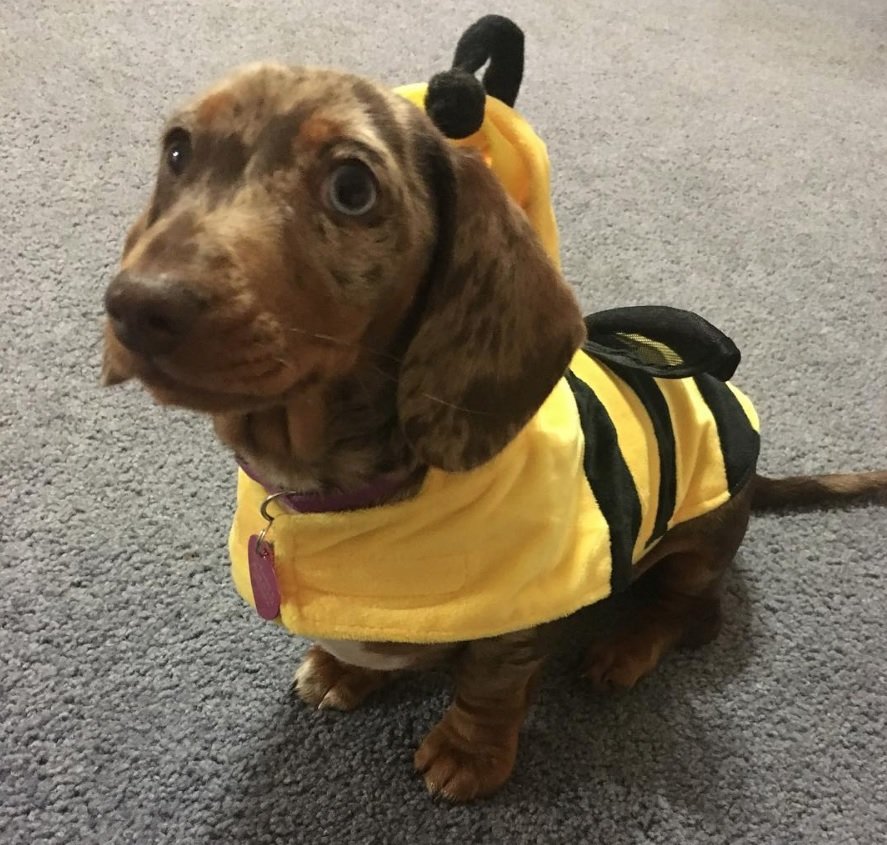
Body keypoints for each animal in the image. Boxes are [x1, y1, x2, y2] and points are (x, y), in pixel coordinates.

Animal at [100, 57, 884, 796]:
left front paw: (468, 752)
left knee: (689, 611)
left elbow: (489, 686)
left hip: (702, 540)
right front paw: (342, 668)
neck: (334, 492)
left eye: (352, 188)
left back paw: (625, 647)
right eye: (177, 151)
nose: (136, 306)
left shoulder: (515, 624)